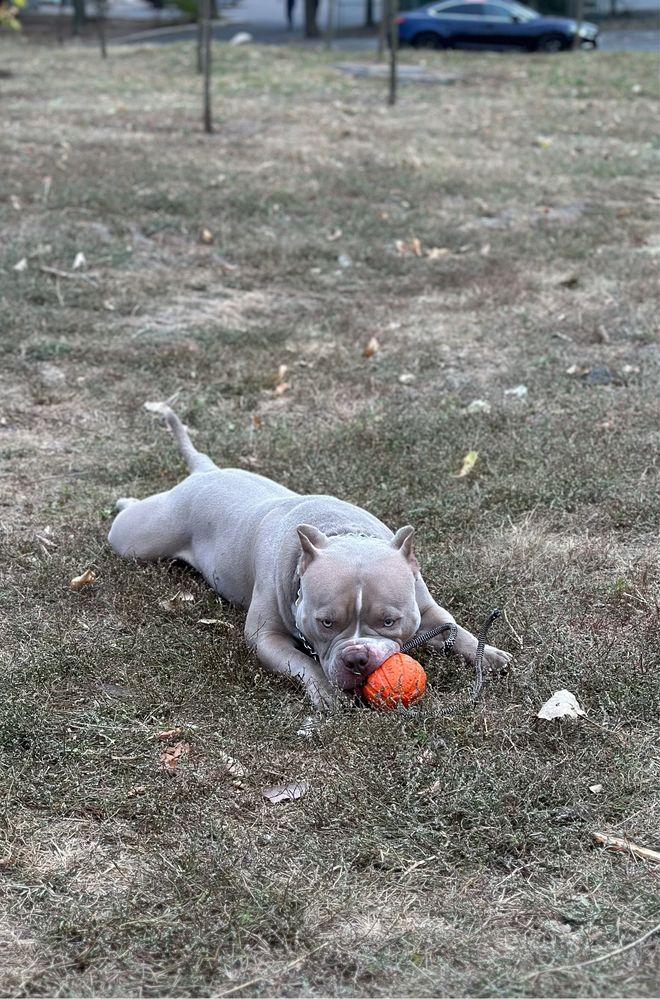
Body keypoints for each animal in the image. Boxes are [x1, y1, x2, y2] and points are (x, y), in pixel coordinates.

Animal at [108, 408, 510, 712]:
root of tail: (206, 472)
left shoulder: (425, 607)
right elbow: (302, 662)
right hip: (139, 537)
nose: (357, 658)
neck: (341, 535)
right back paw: (123, 501)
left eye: (390, 621)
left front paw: (488, 655)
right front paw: (326, 692)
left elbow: (456, 629)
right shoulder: (264, 637)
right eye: (326, 623)